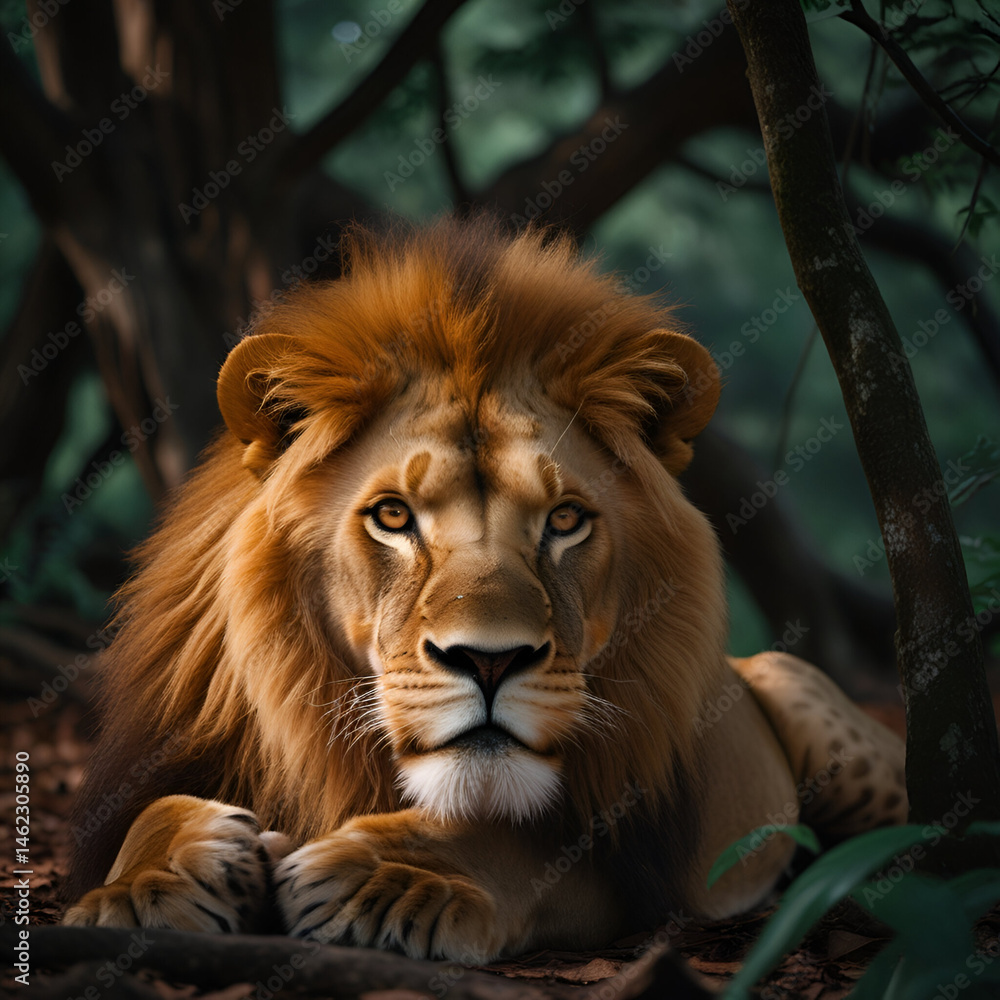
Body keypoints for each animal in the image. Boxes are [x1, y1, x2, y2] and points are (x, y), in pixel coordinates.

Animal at [62, 218, 907, 960]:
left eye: (565, 520)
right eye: (393, 516)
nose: (490, 661)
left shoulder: (624, 861)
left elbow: (515, 841)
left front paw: (388, 875)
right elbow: (153, 812)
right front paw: (145, 887)